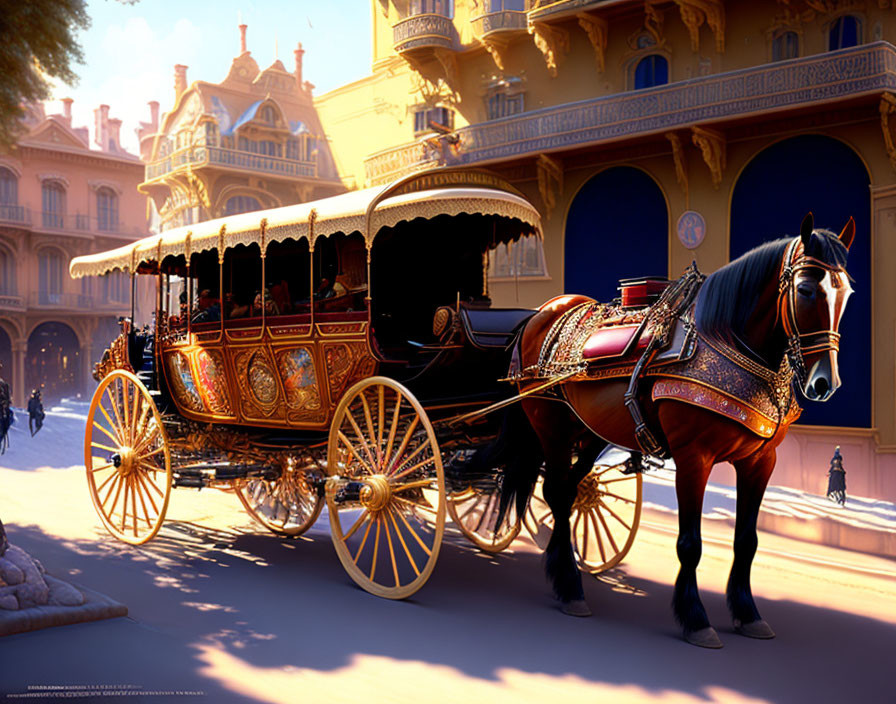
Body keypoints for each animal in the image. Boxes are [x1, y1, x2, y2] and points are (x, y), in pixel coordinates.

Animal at [496, 213, 856, 648]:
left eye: (847, 293)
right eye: (804, 289)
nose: (825, 382)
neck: (723, 337)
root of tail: (542, 311)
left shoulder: (760, 462)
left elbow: (747, 541)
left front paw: (748, 613)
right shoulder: (692, 458)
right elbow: (690, 543)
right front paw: (695, 618)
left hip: (591, 432)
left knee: (566, 492)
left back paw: (563, 573)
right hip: (550, 424)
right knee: (553, 490)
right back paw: (569, 586)